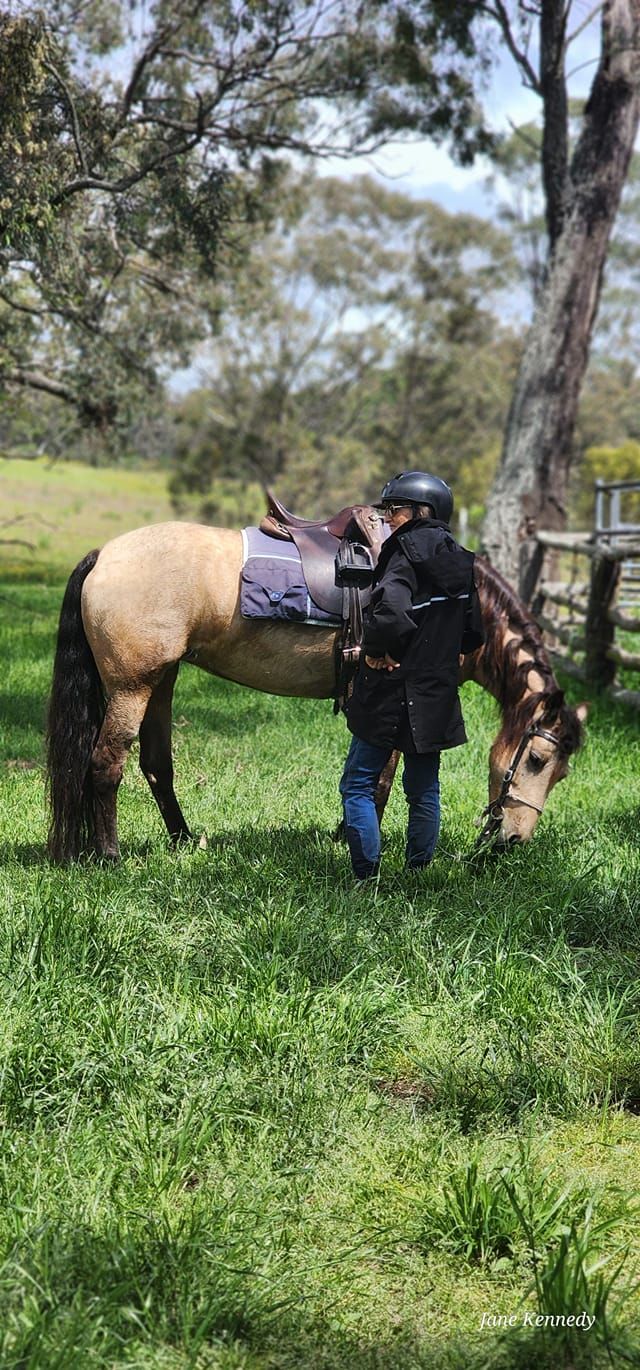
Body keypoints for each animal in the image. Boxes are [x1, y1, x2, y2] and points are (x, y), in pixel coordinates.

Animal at [43, 517, 586, 860]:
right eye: (537, 760)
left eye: (561, 774)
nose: (513, 840)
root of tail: (103, 555)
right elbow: (382, 779)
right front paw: (356, 839)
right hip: (131, 686)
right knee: (105, 765)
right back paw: (109, 854)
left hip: (162, 680)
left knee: (157, 765)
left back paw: (183, 841)